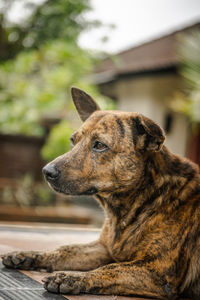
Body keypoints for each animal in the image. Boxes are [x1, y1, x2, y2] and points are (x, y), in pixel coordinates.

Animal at [1, 88, 200, 298]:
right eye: (72, 141)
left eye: (99, 145)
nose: (46, 172)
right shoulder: (103, 249)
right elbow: (66, 249)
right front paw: (29, 255)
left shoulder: (158, 272)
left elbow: (111, 269)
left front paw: (72, 278)